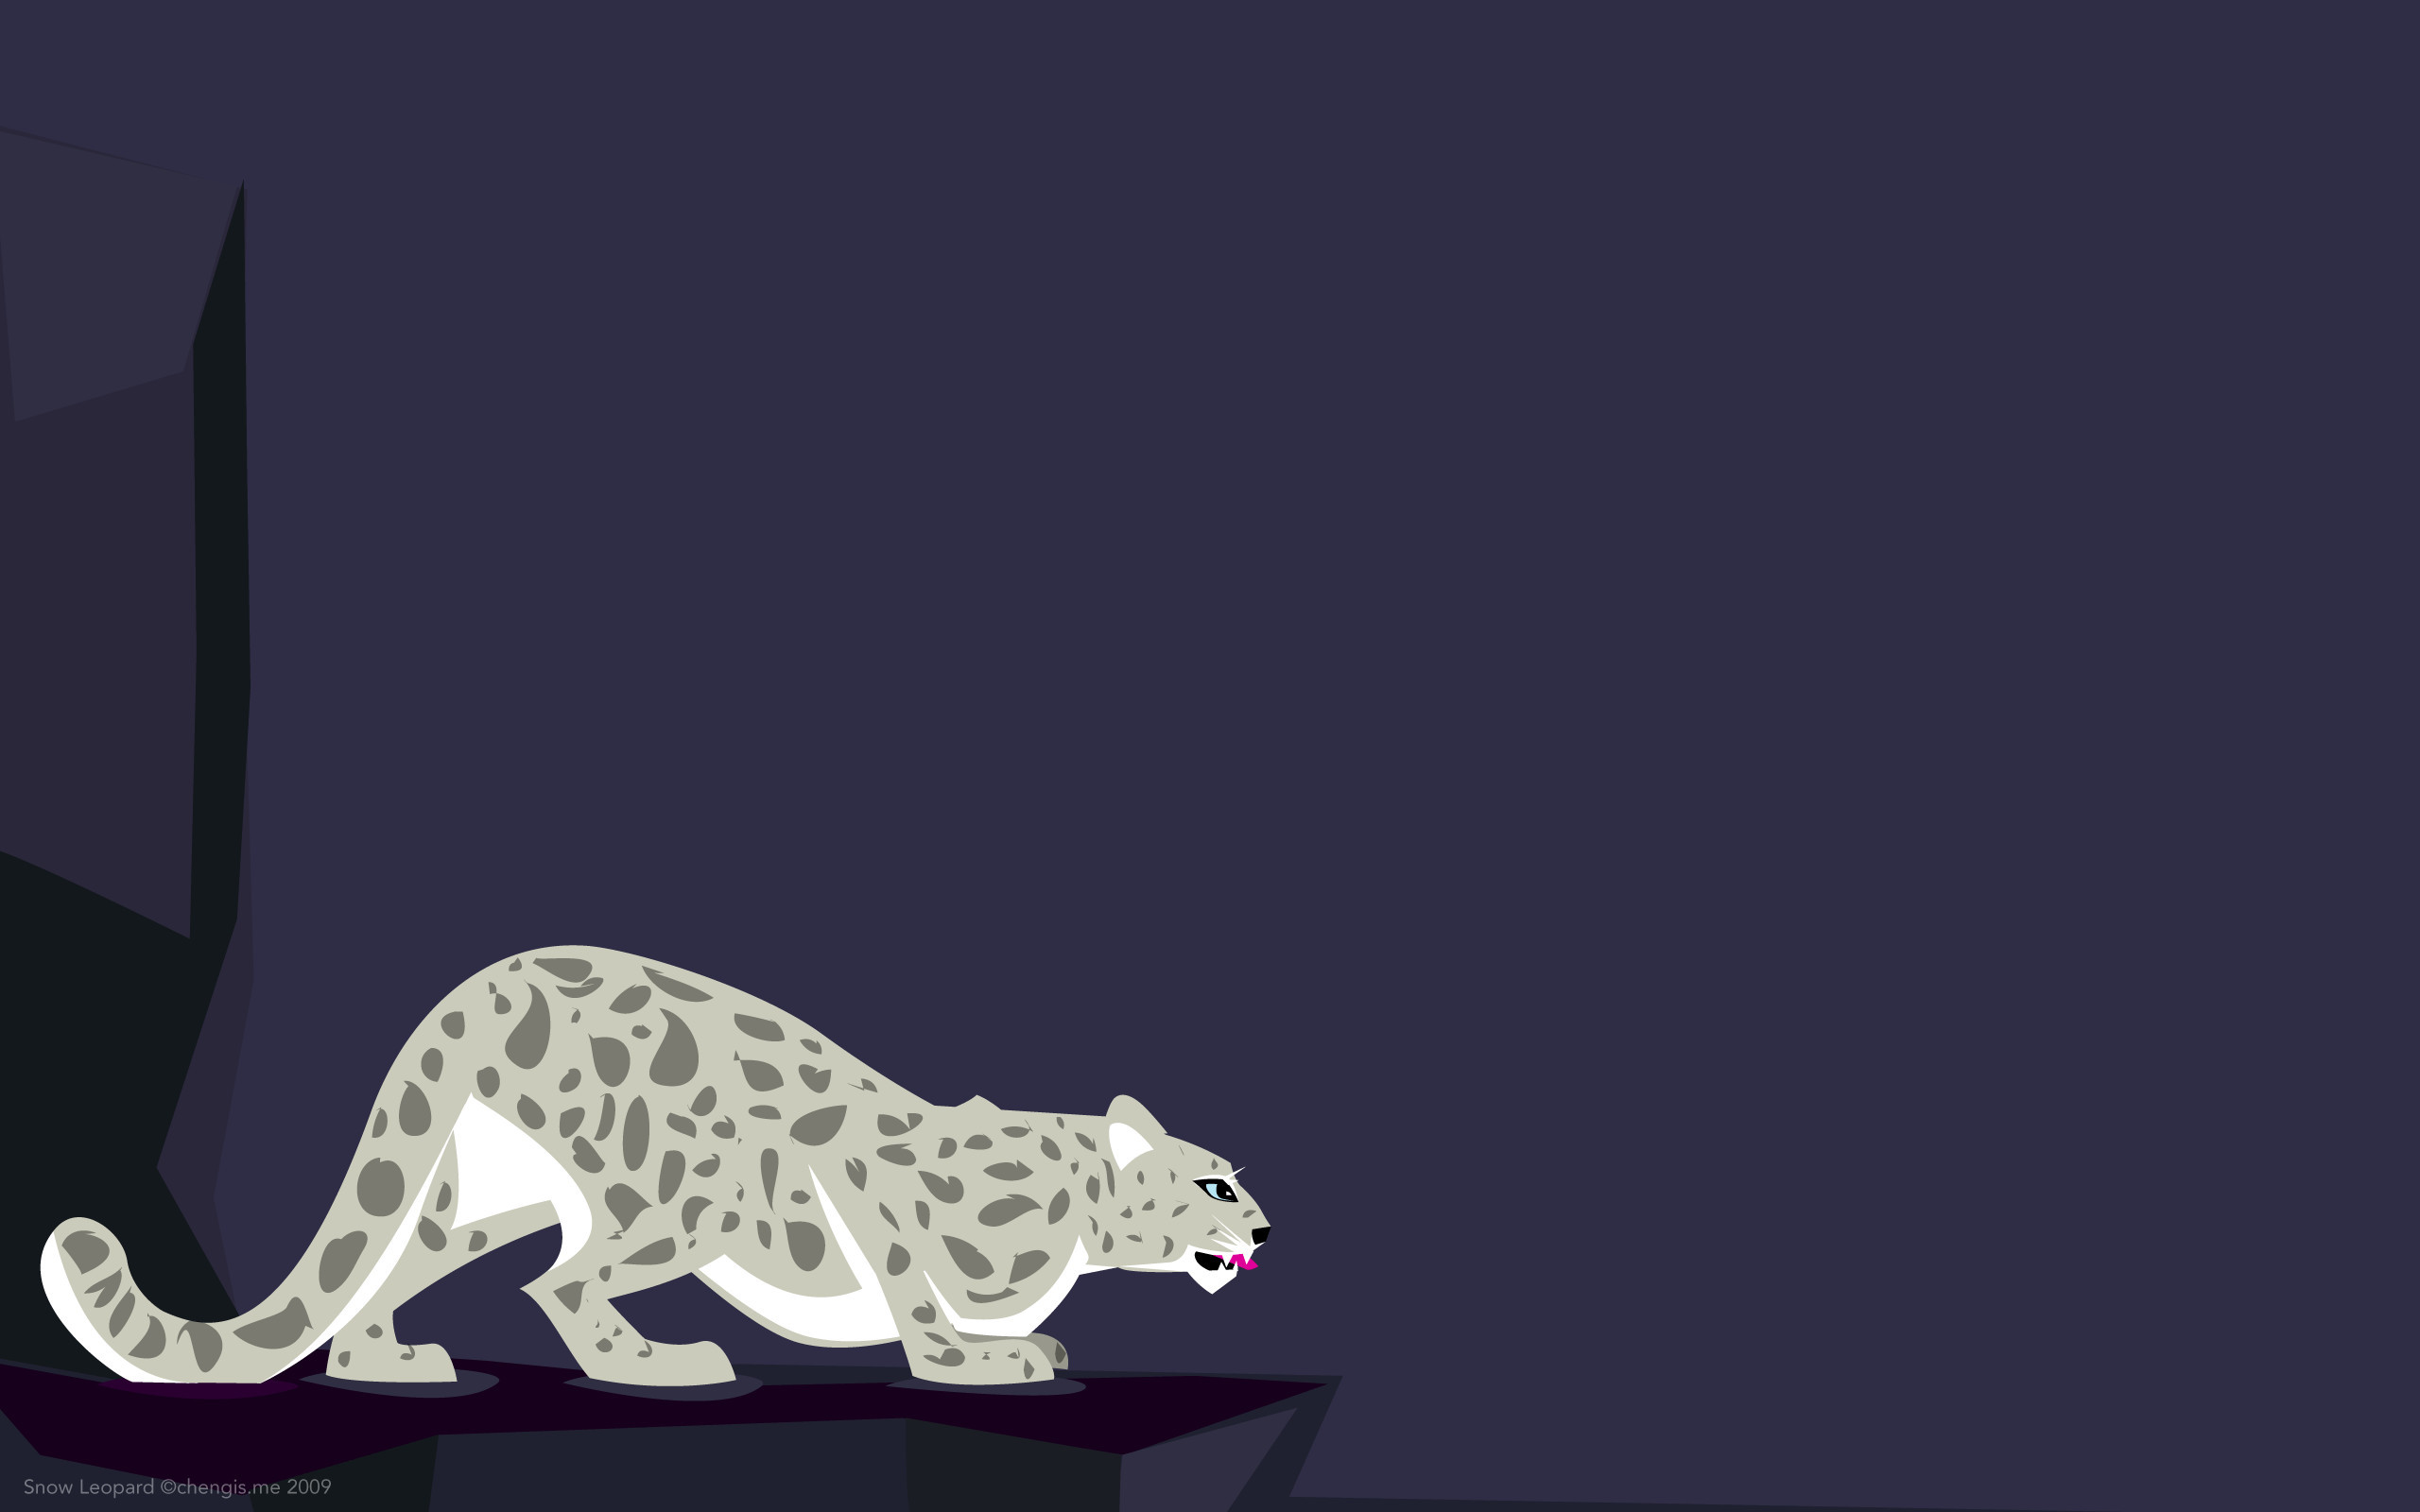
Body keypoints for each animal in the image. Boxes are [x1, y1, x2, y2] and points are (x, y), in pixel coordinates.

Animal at [39, 947, 1268, 1389]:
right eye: (1213, 1182)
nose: (1264, 1230)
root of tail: (483, 983)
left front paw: (1021, 1341)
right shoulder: (864, 1183)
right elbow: (914, 1289)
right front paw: (971, 1360)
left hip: (483, 1194)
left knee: (400, 1267)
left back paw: (388, 1359)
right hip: (687, 1196)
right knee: (561, 1281)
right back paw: (656, 1362)